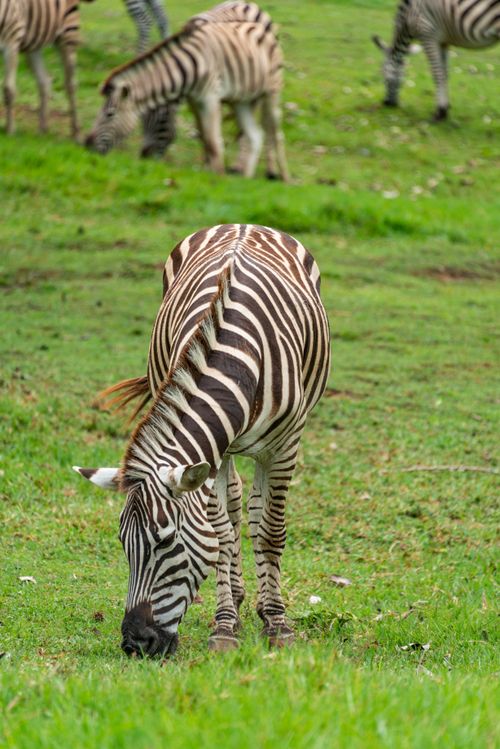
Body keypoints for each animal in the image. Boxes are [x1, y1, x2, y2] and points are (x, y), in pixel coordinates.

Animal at [0, 0, 93, 137]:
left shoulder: (11, 42)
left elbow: (8, 89)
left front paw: (10, 130)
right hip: (33, 44)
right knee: (45, 81)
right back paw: (43, 129)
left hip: (68, 36)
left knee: (71, 85)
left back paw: (76, 132)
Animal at [74, 223, 331, 656]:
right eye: (123, 543)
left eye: (166, 543)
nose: (135, 643)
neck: (236, 356)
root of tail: (243, 224)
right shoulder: (216, 450)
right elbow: (221, 533)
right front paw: (225, 625)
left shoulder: (286, 443)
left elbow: (271, 530)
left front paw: (278, 624)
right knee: (236, 504)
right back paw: (239, 602)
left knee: (257, 510)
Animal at [85, 6, 289, 180]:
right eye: (142, 120)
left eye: (110, 115)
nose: (87, 146)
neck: (187, 68)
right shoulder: (194, 99)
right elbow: (204, 136)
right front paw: (209, 169)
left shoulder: (211, 97)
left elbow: (214, 141)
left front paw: (217, 177)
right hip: (243, 98)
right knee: (255, 133)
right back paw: (245, 176)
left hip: (271, 91)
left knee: (274, 130)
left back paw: (280, 176)